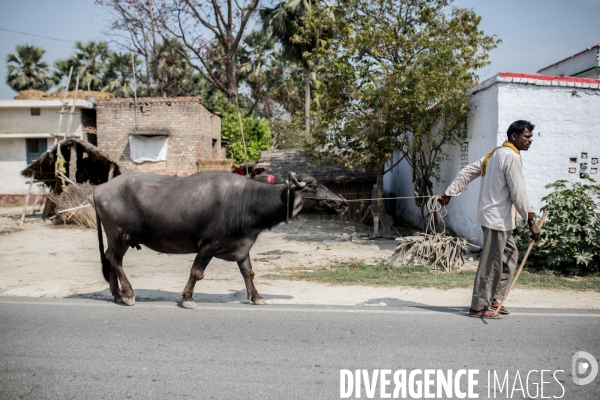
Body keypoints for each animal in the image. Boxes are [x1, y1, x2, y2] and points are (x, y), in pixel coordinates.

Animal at [94, 170, 346, 308]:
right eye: (314, 185)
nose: (342, 203)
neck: (246, 202)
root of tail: (99, 189)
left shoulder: (242, 246)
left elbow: (248, 272)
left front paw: (256, 297)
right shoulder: (208, 245)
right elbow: (196, 272)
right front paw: (187, 298)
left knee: (109, 259)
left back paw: (116, 294)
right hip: (119, 235)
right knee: (114, 260)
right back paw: (128, 294)